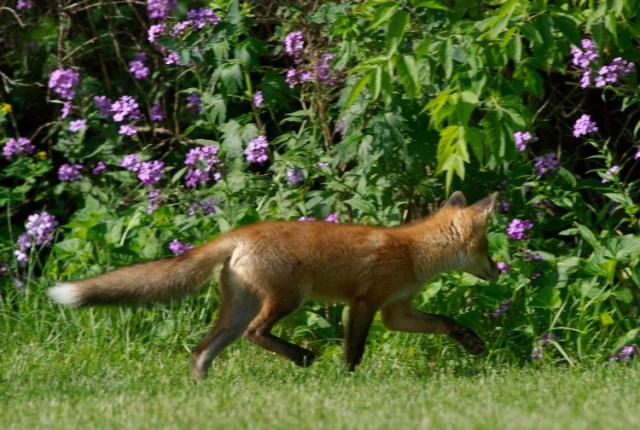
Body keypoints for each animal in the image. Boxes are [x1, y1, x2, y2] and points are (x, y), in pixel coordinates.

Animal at [48, 191, 499, 380]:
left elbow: (445, 322)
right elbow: (354, 351)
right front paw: (349, 381)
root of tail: (239, 233)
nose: (498, 272)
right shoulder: (364, 303)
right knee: (255, 333)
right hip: (287, 298)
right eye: (487, 247)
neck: (411, 251)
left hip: (237, 312)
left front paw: (472, 342)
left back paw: (201, 391)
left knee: (201, 351)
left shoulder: (396, 311)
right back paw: (302, 357)